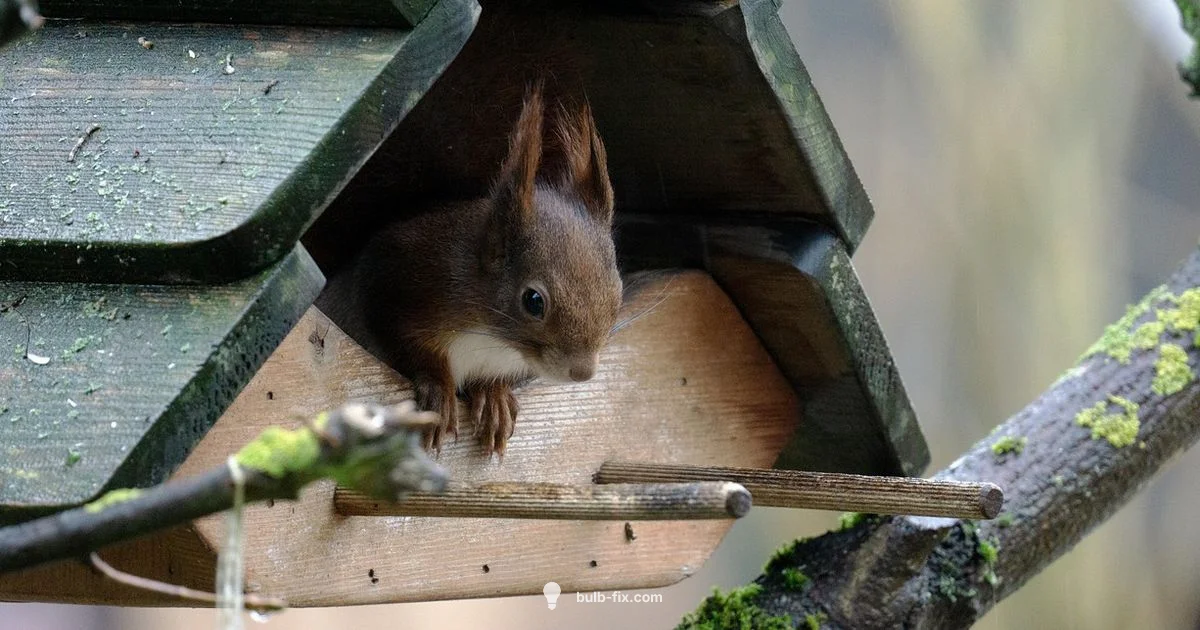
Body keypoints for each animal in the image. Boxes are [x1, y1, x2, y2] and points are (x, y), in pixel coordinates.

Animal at [321, 86, 622, 456]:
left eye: (617, 295)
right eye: (533, 301)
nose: (582, 372)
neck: (491, 336)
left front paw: (494, 396)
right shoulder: (394, 282)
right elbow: (409, 347)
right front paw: (439, 389)